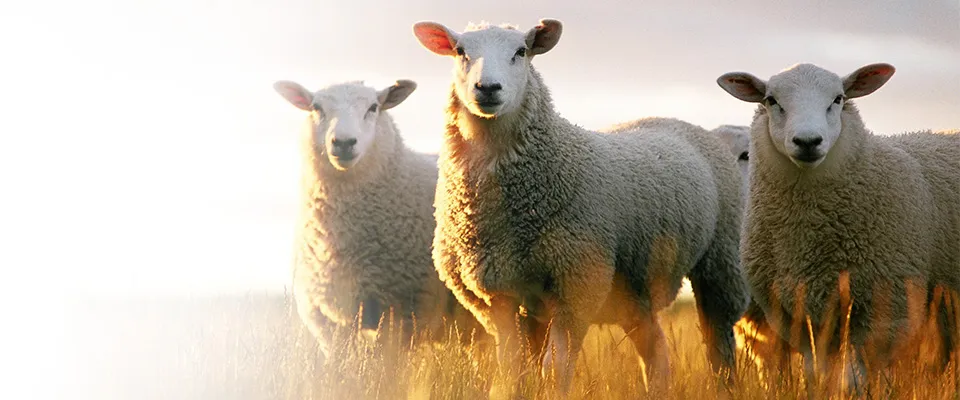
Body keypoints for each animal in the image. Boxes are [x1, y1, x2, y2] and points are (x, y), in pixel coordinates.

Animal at [412, 18, 750, 396]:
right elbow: (511, 368)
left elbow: (555, 369)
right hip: (635, 287)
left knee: (719, 346)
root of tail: (675, 120)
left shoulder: (576, 286)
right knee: (656, 351)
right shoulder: (496, 296)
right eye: (460, 51)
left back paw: (725, 387)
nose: (487, 88)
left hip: (719, 261)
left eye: (521, 51)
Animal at [717, 62, 960, 394]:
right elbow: (814, 375)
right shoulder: (796, 318)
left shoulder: (885, 312)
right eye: (771, 100)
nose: (808, 142)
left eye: (838, 99)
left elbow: (858, 379)